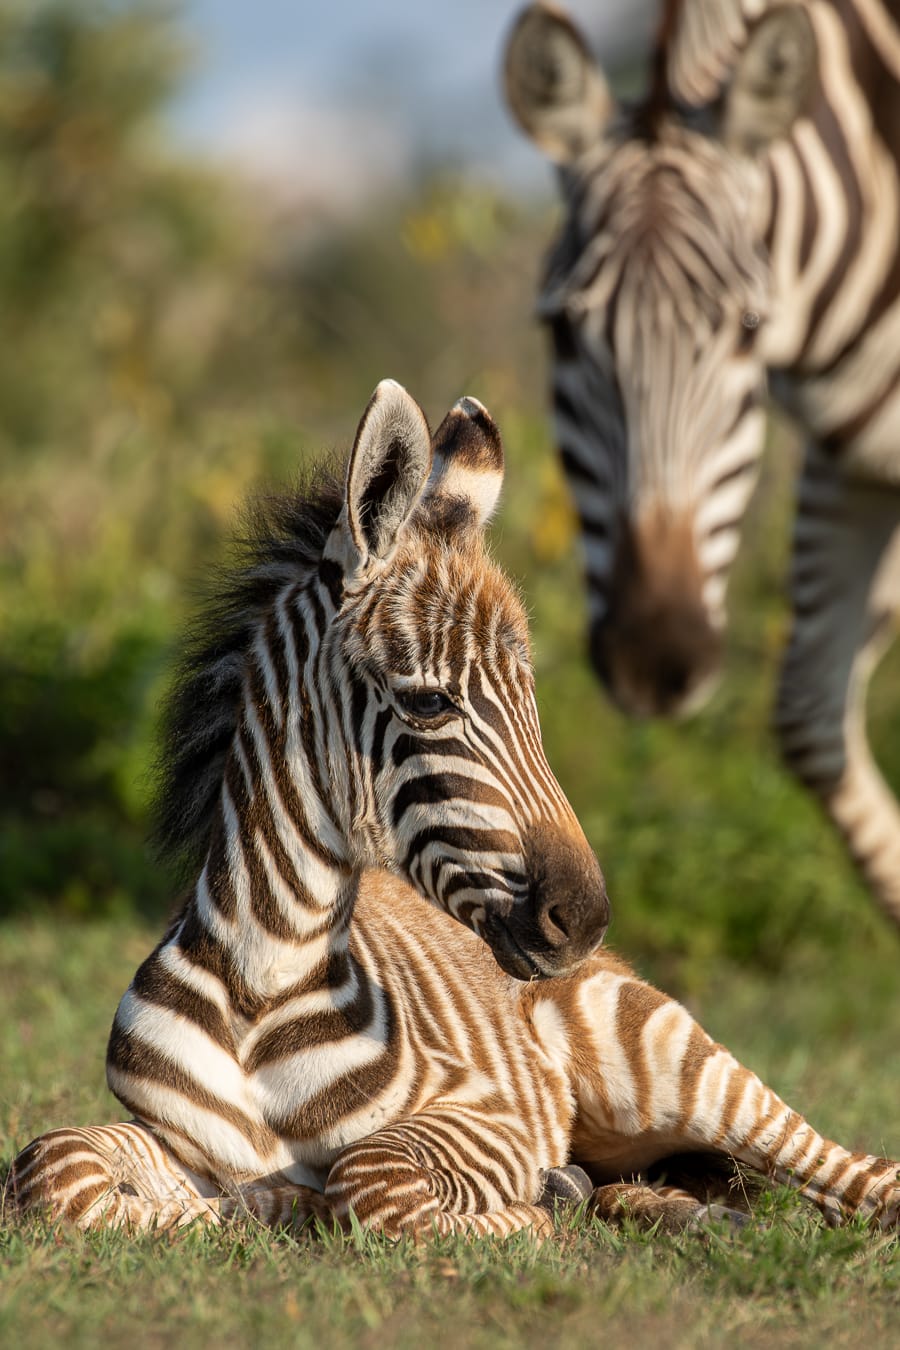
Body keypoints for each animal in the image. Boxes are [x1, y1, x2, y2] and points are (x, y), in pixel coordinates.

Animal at [6, 380, 899, 1238]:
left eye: (533, 707)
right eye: (431, 704)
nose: (584, 917)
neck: (262, 981)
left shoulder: (488, 1112)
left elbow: (371, 1179)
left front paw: (525, 1215)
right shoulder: (170, 1137)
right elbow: (52, 1166)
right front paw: (255, 1205)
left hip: (668, 1059)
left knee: (856, 1174)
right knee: (671, 1187)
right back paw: (671, 1210)